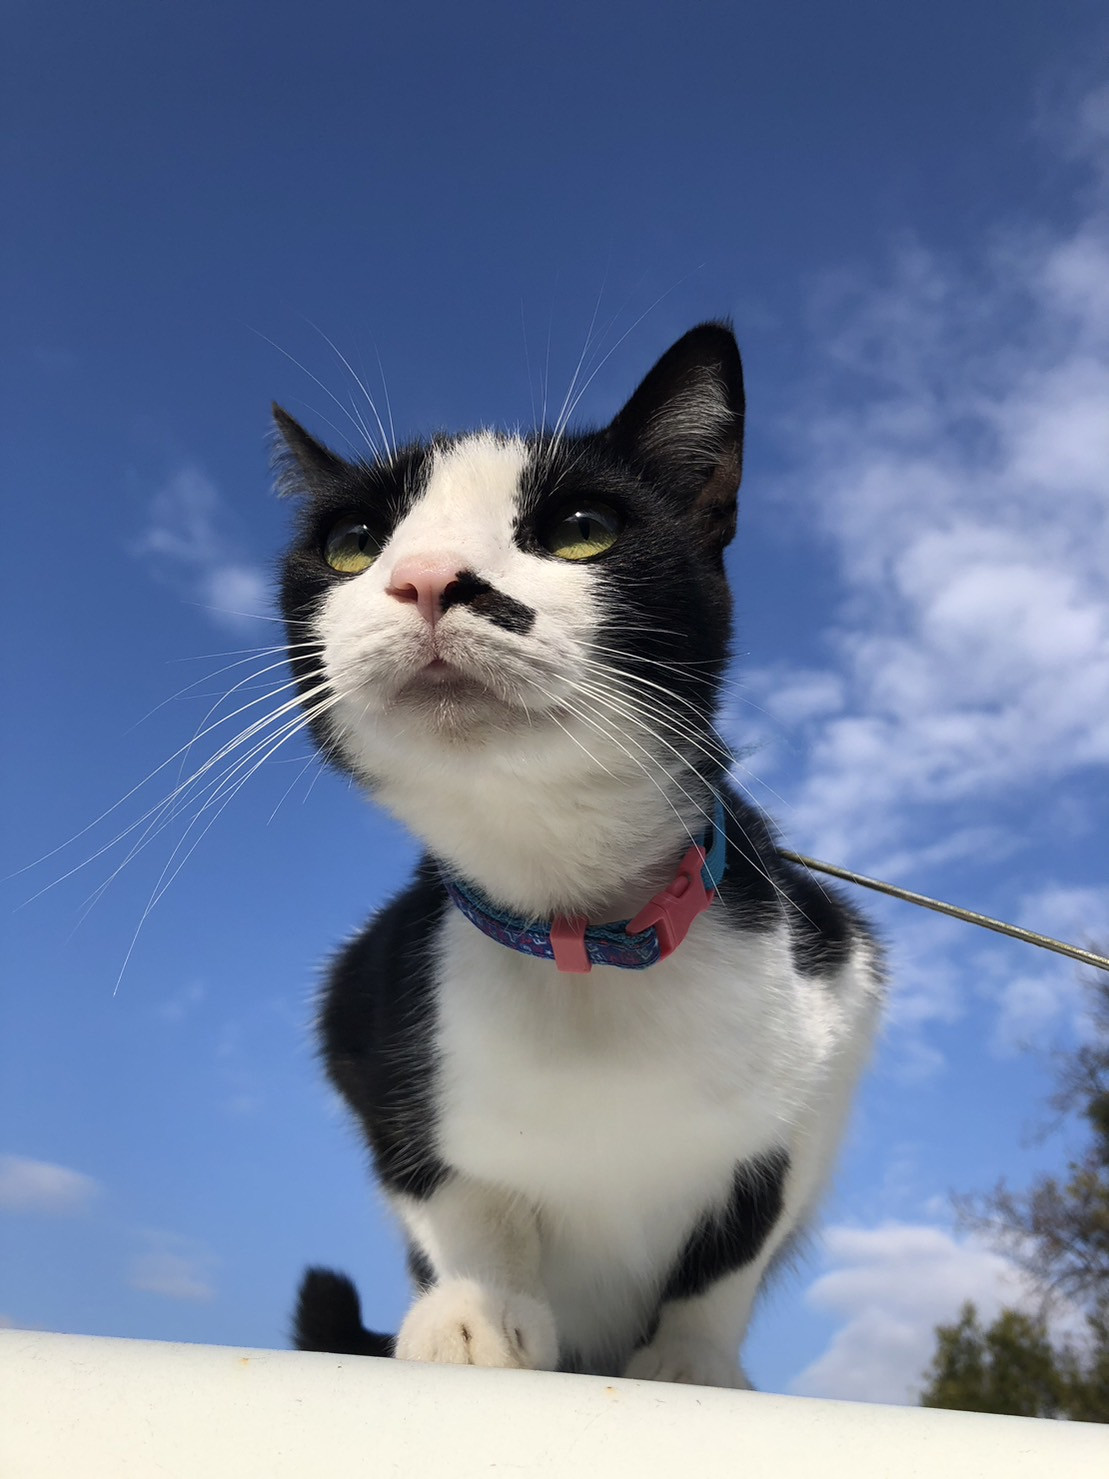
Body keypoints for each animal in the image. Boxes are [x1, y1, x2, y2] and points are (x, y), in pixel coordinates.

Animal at [279, 323, 887, 1384]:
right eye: (352, 544)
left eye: (581, 527)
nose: (427, 575)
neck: (578, 921)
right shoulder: (361, 1008)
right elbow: (453, 1192)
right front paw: (474, 1313)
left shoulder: (835, 1018)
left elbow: (736, 1241)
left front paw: (688, 1359)